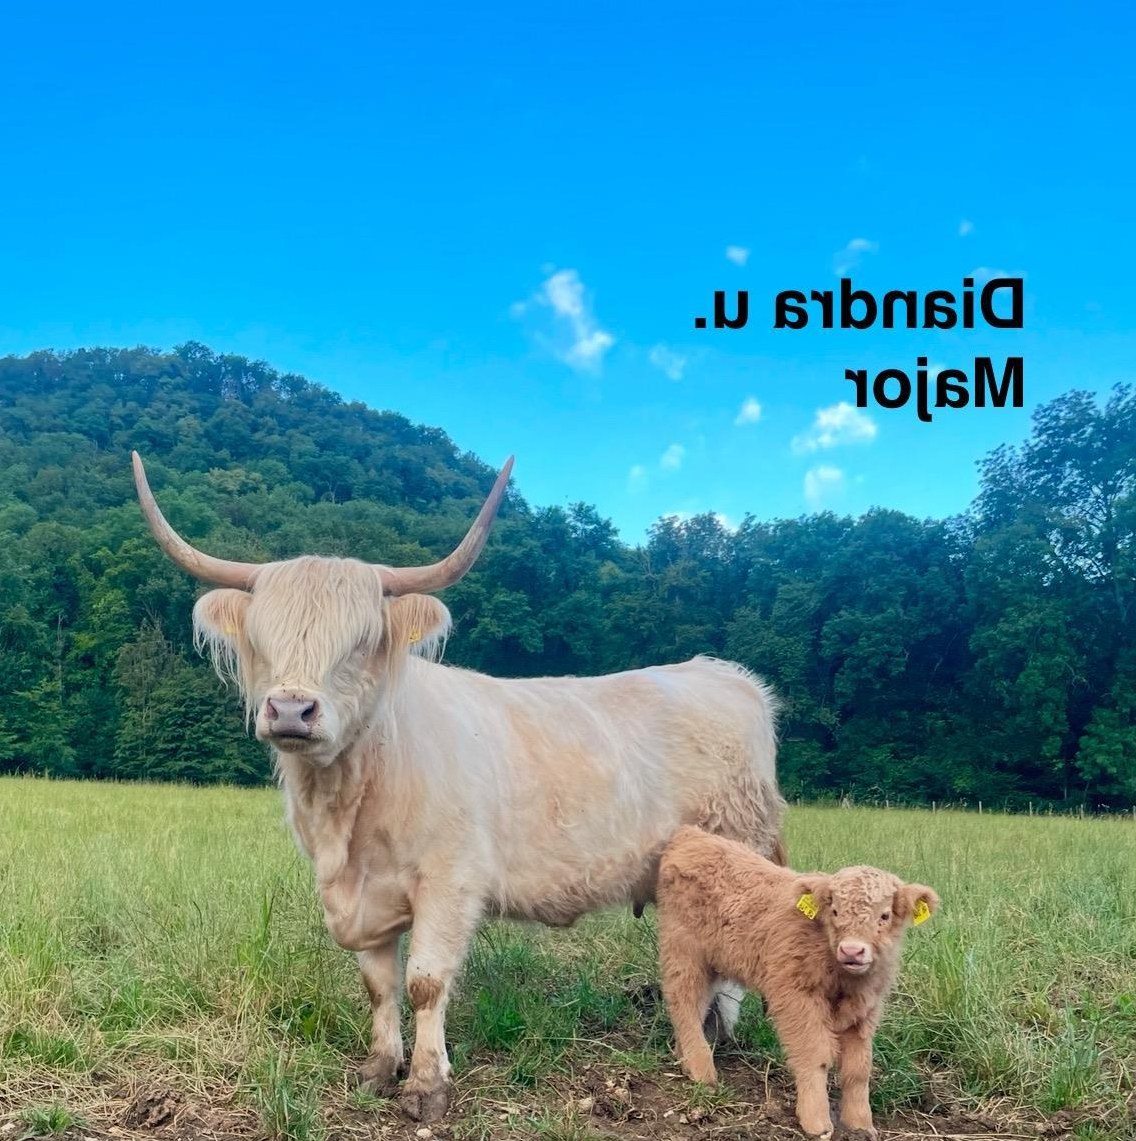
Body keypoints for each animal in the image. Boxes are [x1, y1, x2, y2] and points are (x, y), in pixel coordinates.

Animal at [131, 451, 785, 1122]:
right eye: (260, 640)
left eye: (362, 642)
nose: (290, 710)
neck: (348, 807)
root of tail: (727, 675)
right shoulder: (364, 897)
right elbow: (378, 984)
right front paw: (379, 1069)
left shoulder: (451, 880)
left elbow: (425, 981)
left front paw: (426, 1085)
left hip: (737, 851)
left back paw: (715, 1039)